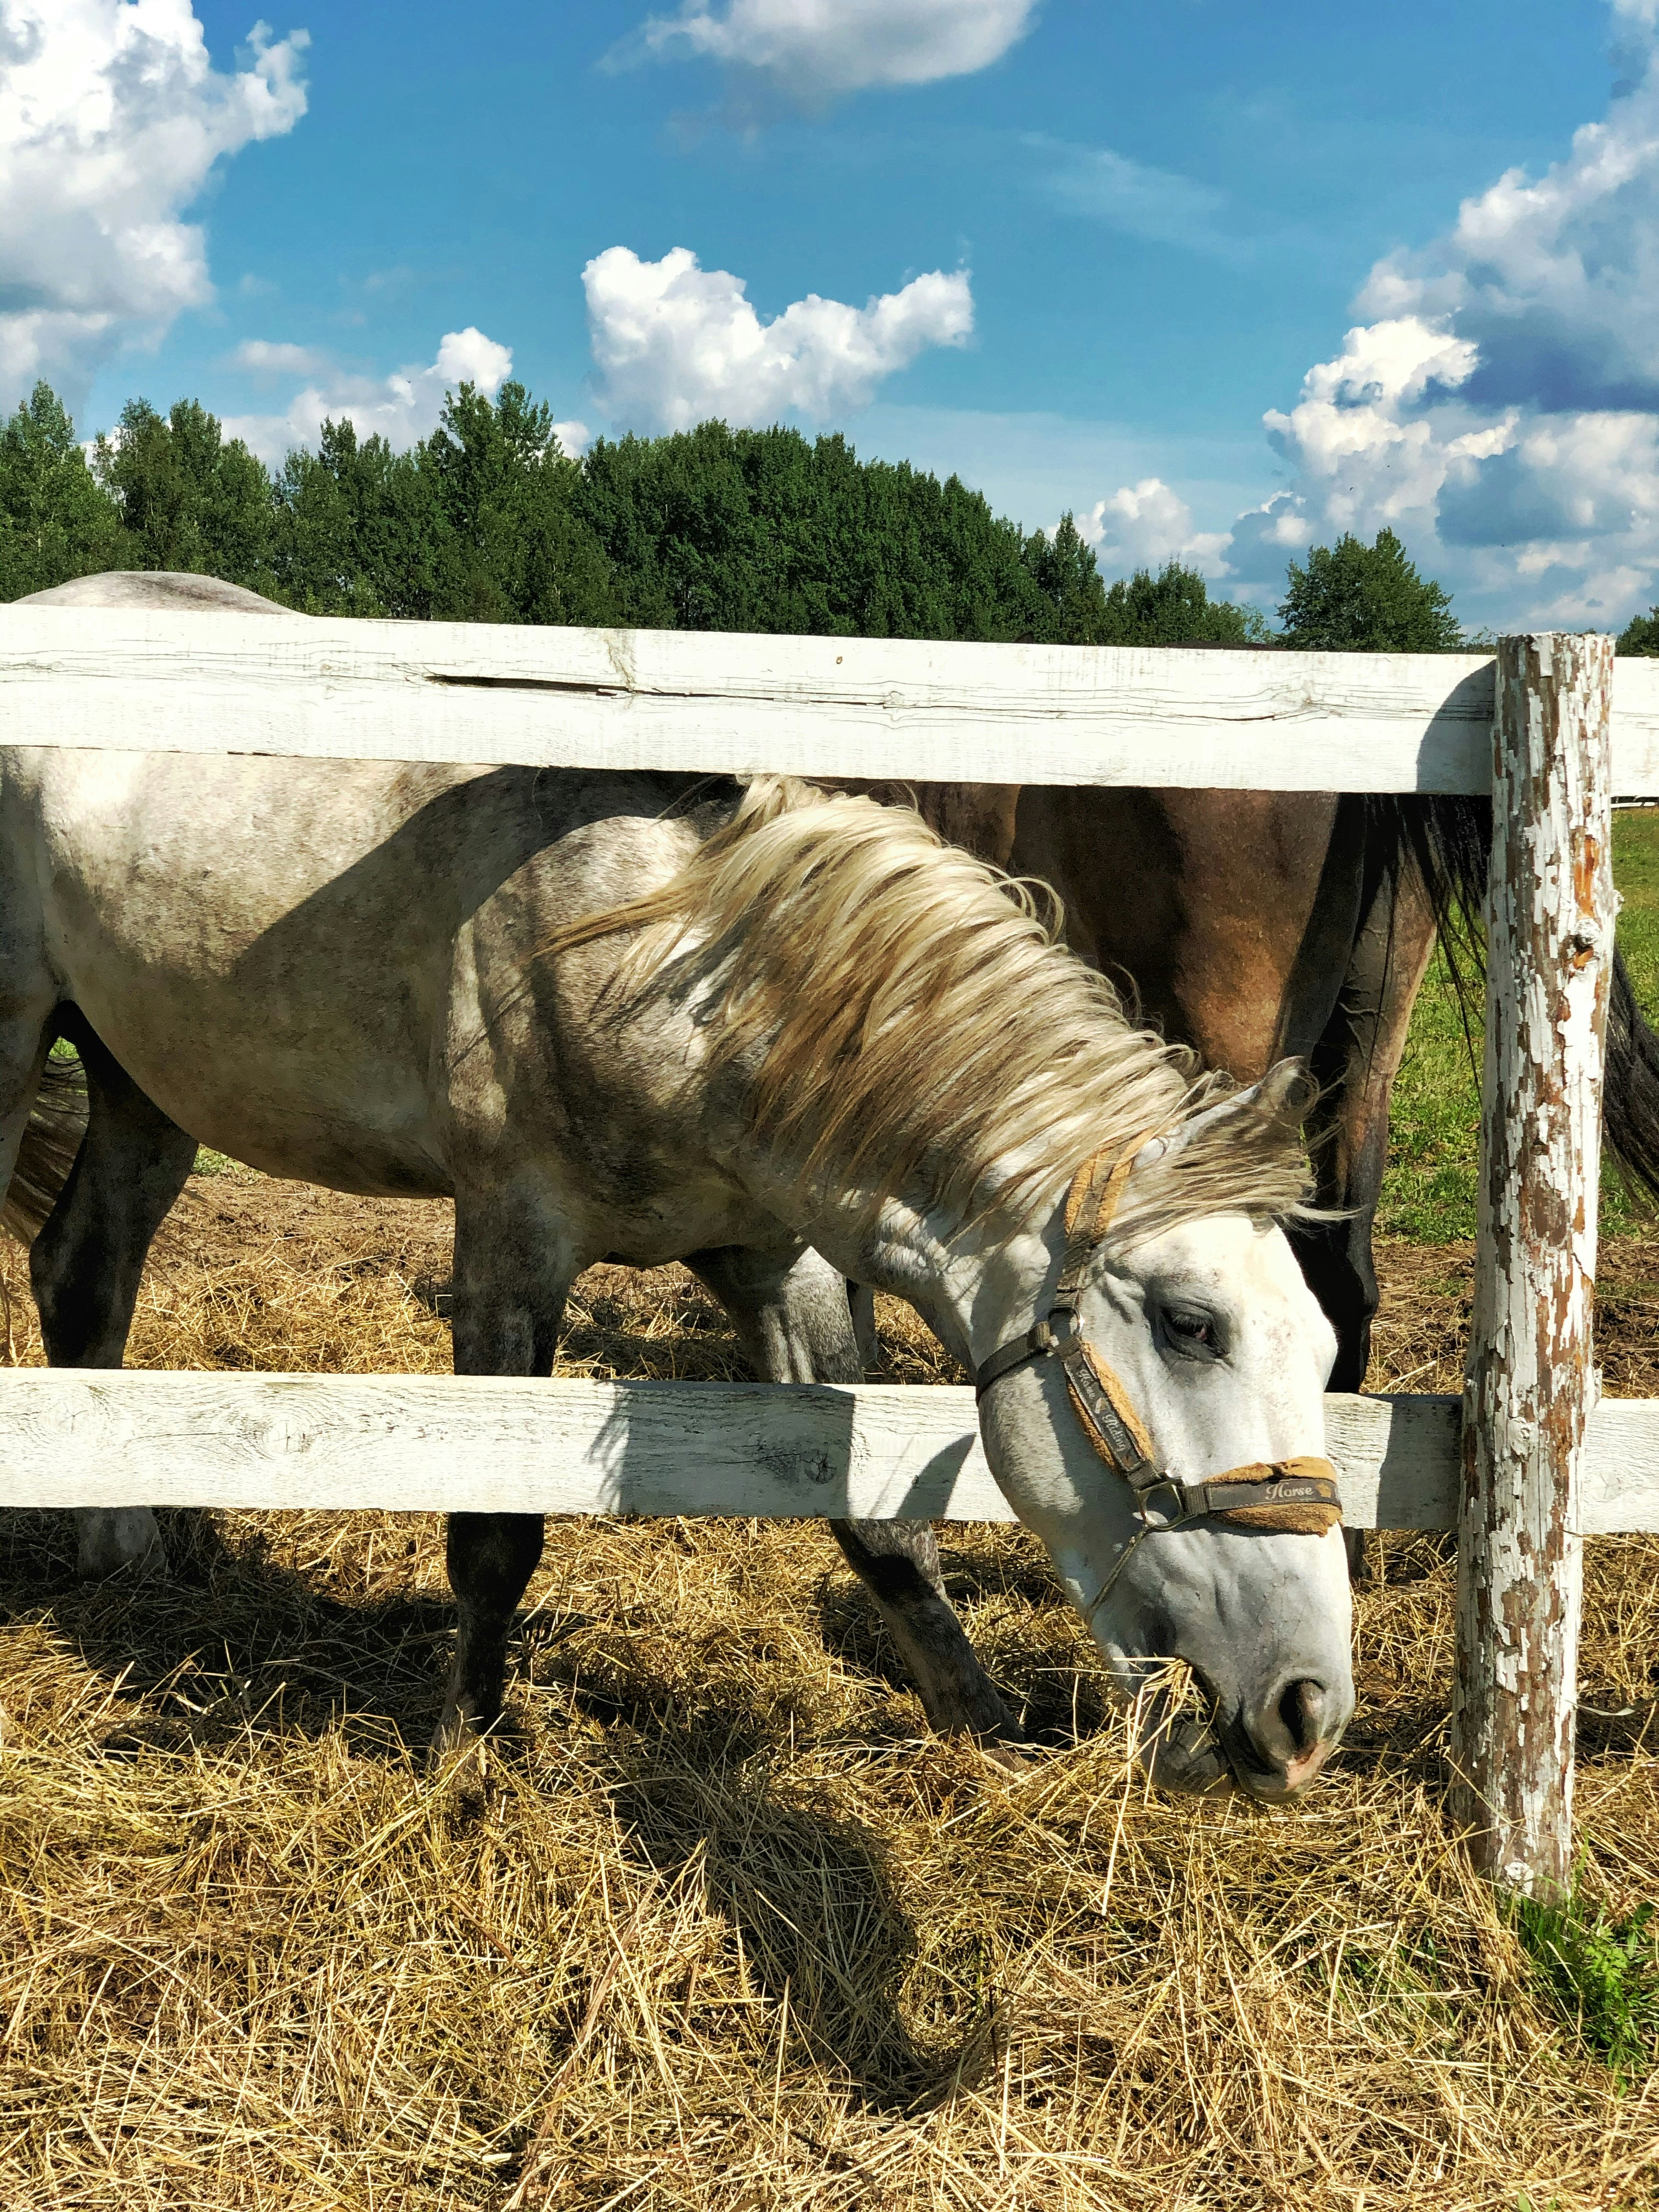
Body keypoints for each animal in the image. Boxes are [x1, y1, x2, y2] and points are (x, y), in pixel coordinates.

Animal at [0, 573, 1354, 1801]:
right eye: (1189, 1326)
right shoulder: (510, 1245)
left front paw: (985, 1727)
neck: (678, 963)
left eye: (1326, 1347)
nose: (1305, 1707)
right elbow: (493, 1533)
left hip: (143, 1086)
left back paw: (120, 1551)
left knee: (84, 1274)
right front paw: (459, 1767)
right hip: (19, 1040)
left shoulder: (774, 1259)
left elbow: (877, 1524)